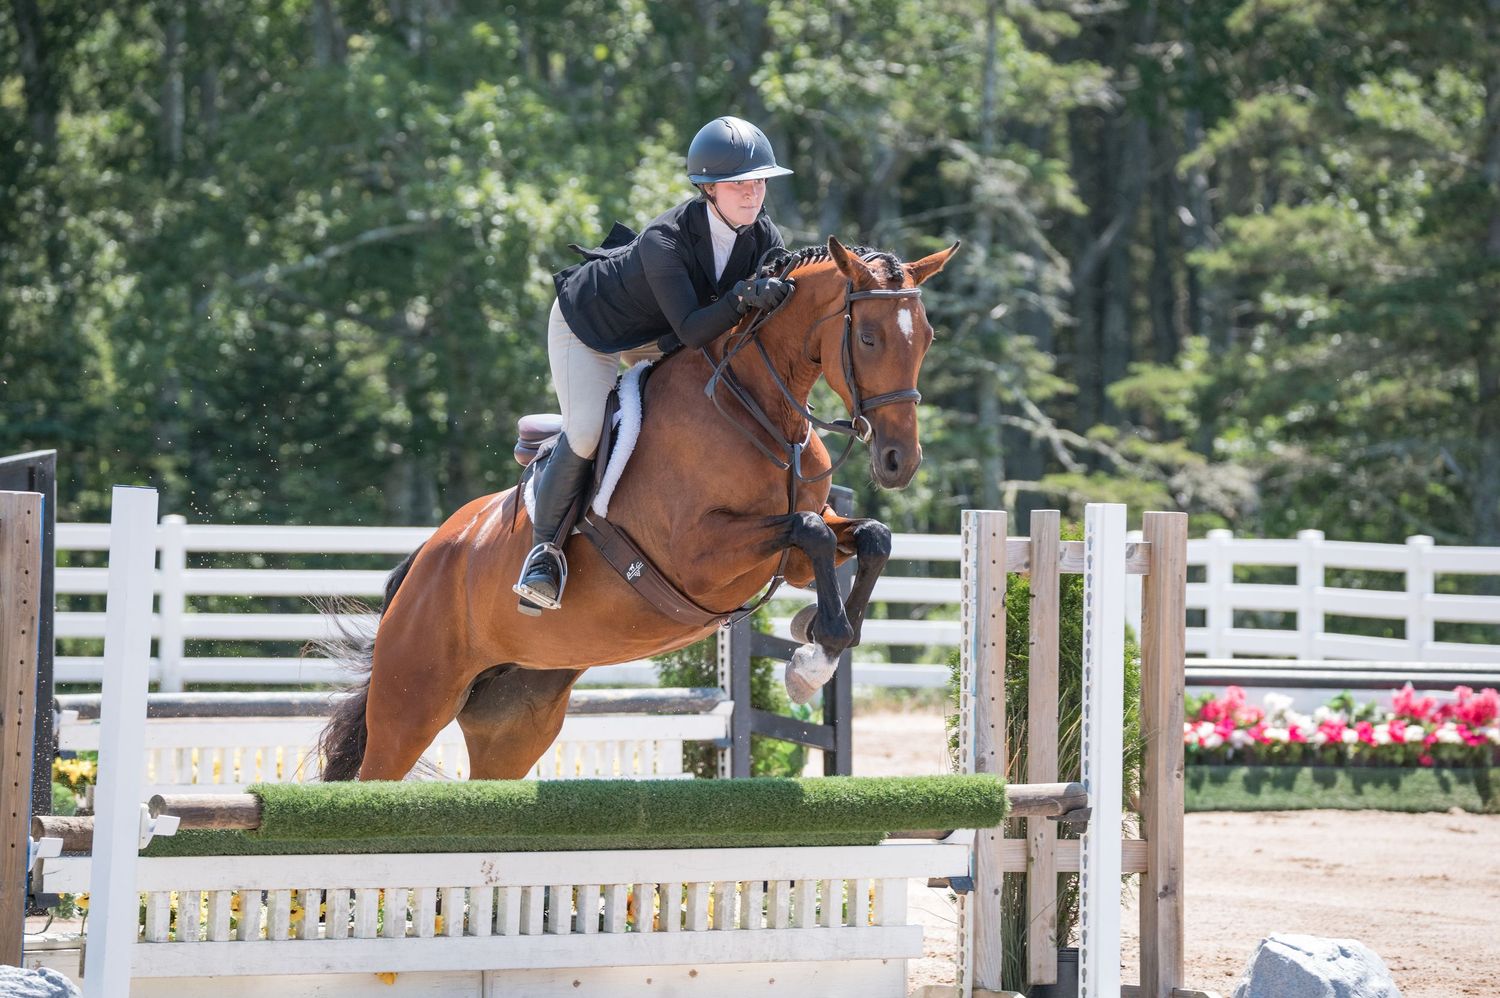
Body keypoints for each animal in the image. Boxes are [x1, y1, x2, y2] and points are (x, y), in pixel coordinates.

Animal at [318, 235, 959, 781]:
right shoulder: (698, 558)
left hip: (515, 716)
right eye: (869, 338)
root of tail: (423, 560)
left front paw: (816, 641)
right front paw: (811, 656)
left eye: (927, 337)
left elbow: (868, 536)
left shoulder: (790, 558)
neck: (754, 410)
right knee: (376, 770)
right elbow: (811, 531)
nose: (900, 461)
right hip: (412, 704)